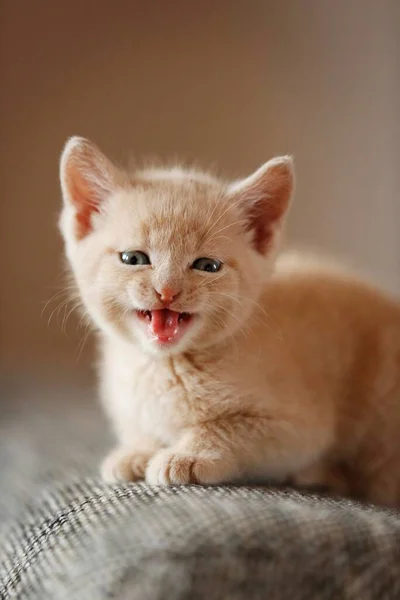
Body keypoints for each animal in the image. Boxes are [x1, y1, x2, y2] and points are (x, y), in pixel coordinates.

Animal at [58, 137, 400, 506]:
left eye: (207, 266)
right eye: (133, 259)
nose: (167, 291)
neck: (164, 366)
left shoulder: (299, 426)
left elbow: (230, 428)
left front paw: (187, 455)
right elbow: (141, 429)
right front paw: (137, 451)